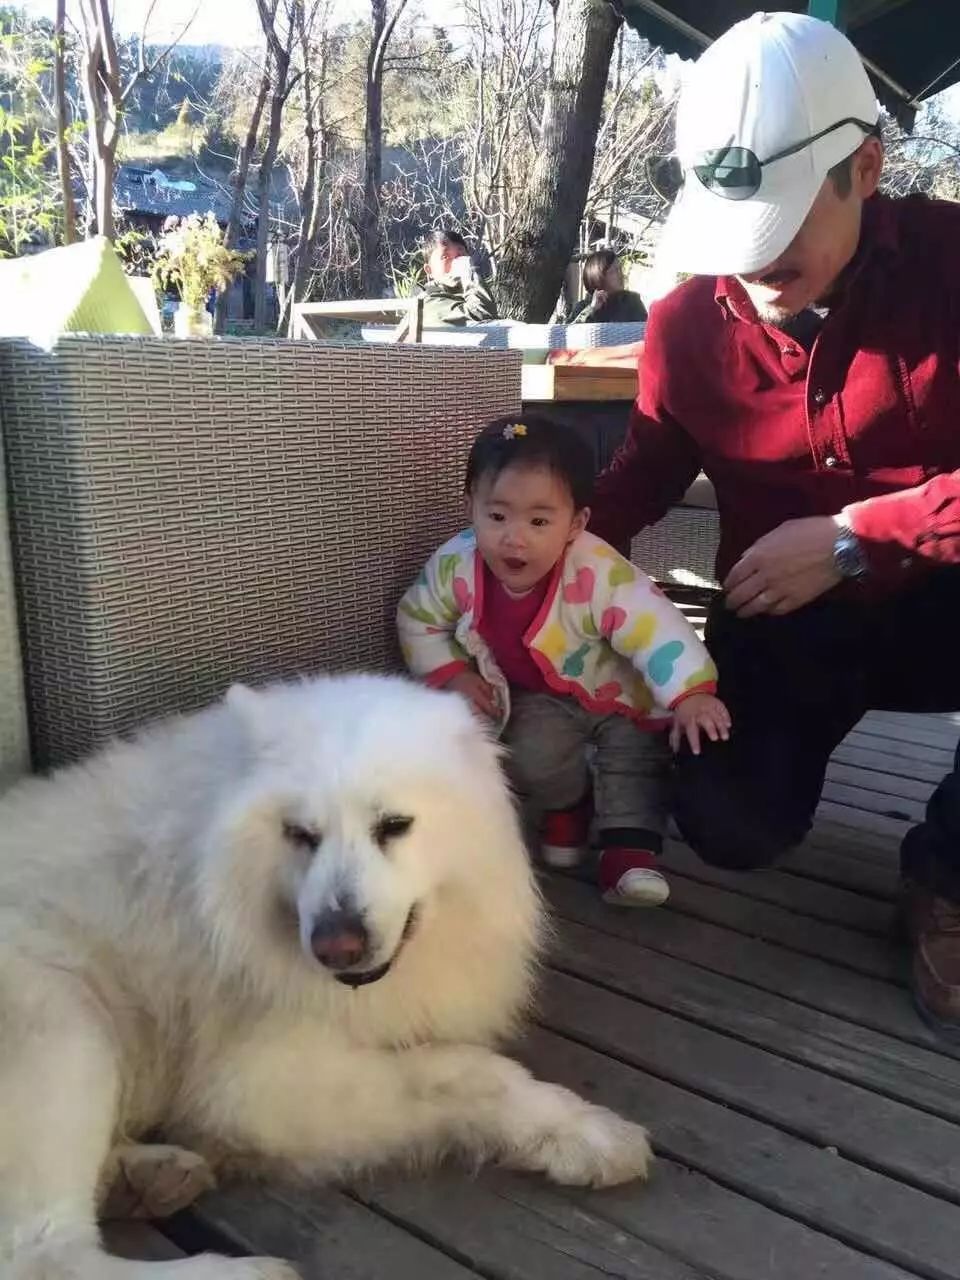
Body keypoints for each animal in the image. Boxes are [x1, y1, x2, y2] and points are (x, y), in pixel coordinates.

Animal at [0, 675, 655, 1274]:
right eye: (300, 834)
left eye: (394, 826)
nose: (335, 946)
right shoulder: (257, 1087)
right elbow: (467, 1070)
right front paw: (585, 1130)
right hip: (65, 1026)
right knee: (42, 1254)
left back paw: (148, 1177)